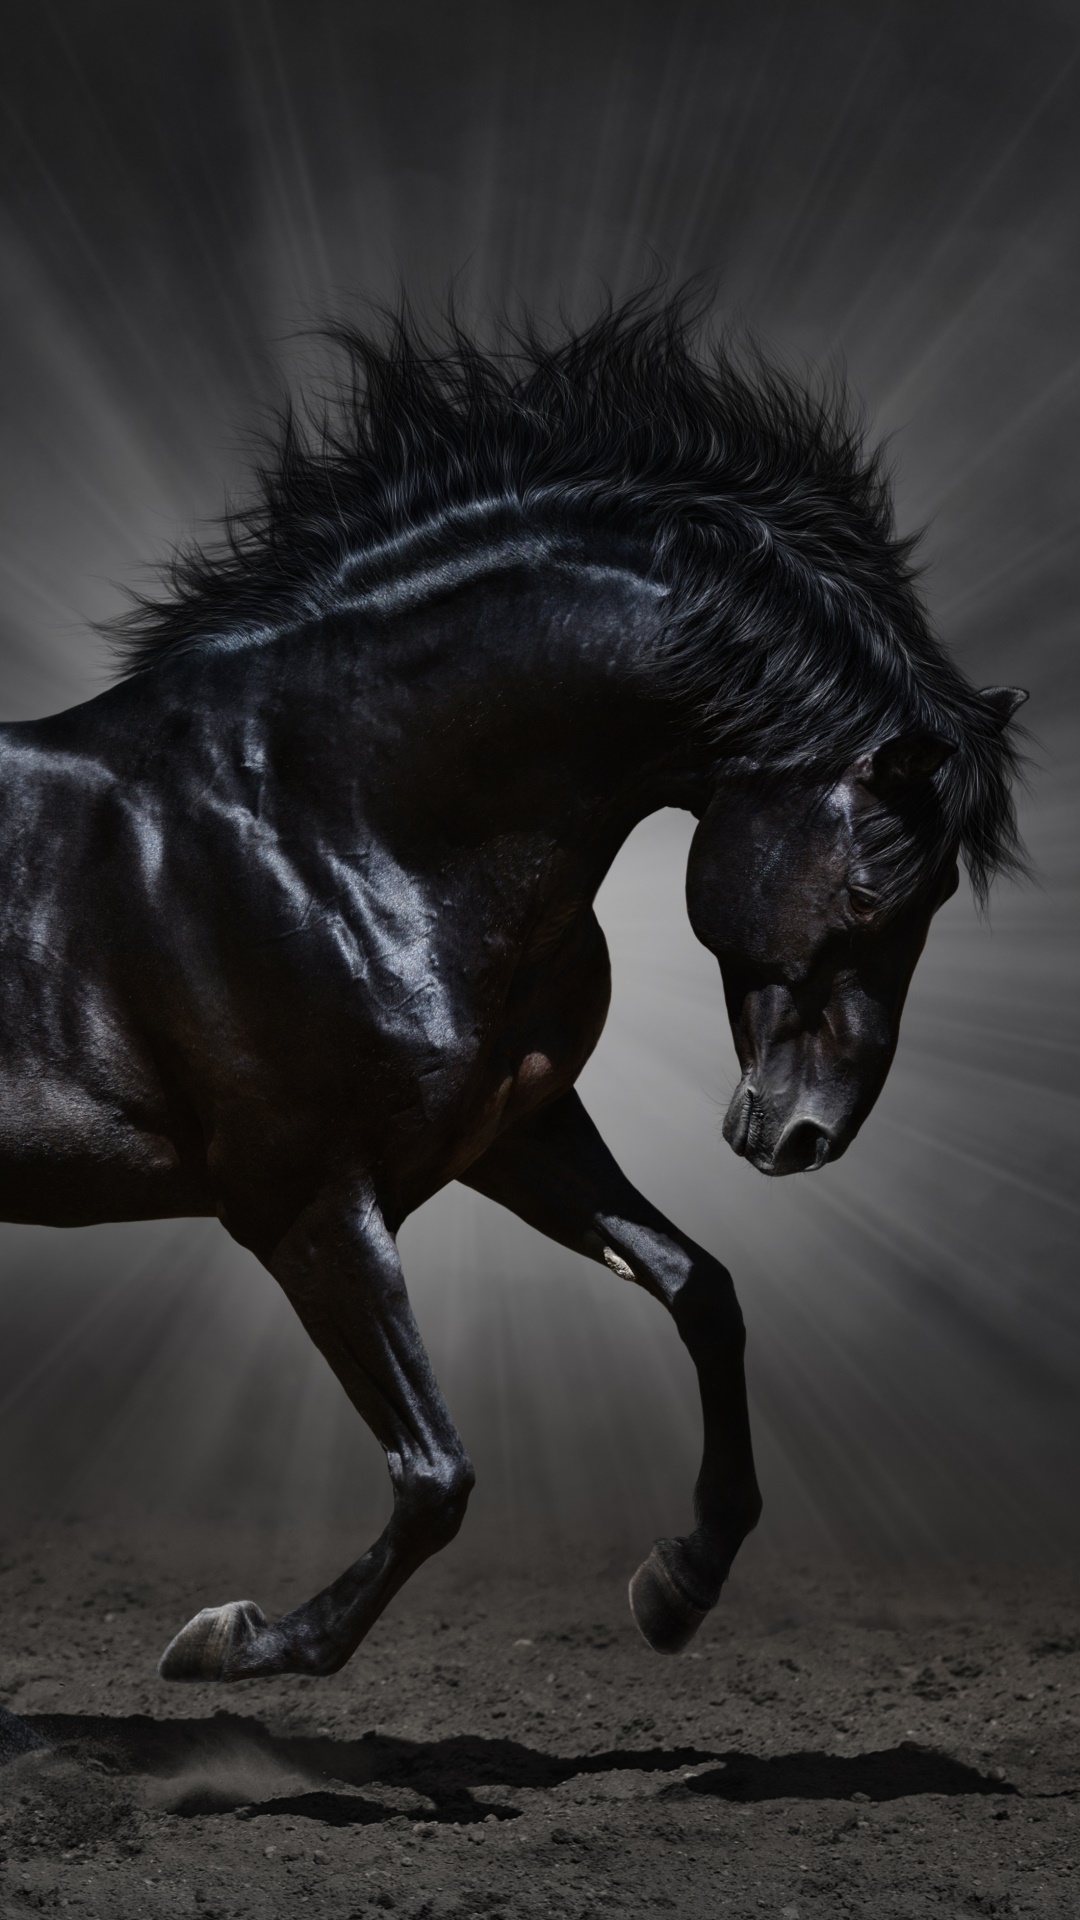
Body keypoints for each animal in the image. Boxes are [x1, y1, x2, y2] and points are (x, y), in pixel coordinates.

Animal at [0, 297, 1025, 1689]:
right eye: (876, 894)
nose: (804, 1134)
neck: (329, 822)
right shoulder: (306, 1204)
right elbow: (436, 1474)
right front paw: (238, 1641)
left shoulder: (514, 1132)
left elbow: (701, 1290)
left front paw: (679, 1584)